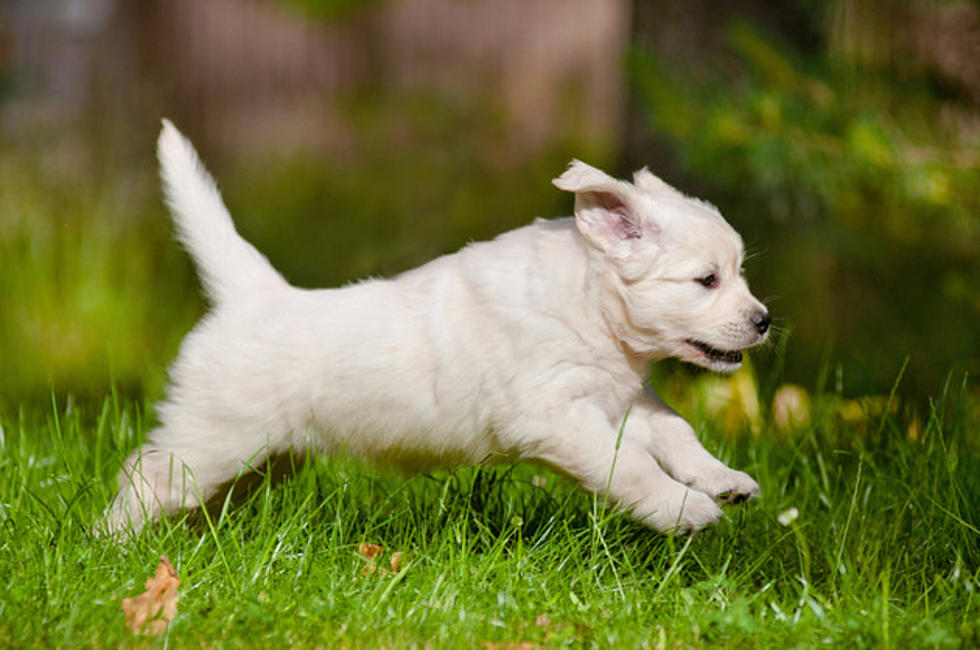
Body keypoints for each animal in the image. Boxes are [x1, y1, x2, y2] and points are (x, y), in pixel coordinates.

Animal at [105, 119, 772, 536]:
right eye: (707, 280)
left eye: (739, 273)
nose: (764, 321)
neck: (590, 305)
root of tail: (253, 295)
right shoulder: (553, 416)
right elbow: (627, 465)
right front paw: (684, 510)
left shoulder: (620, 399)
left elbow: (676, 431)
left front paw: (723, 480)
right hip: (212, 438)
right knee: (146, 478)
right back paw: (112, 548)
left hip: (264, 459)